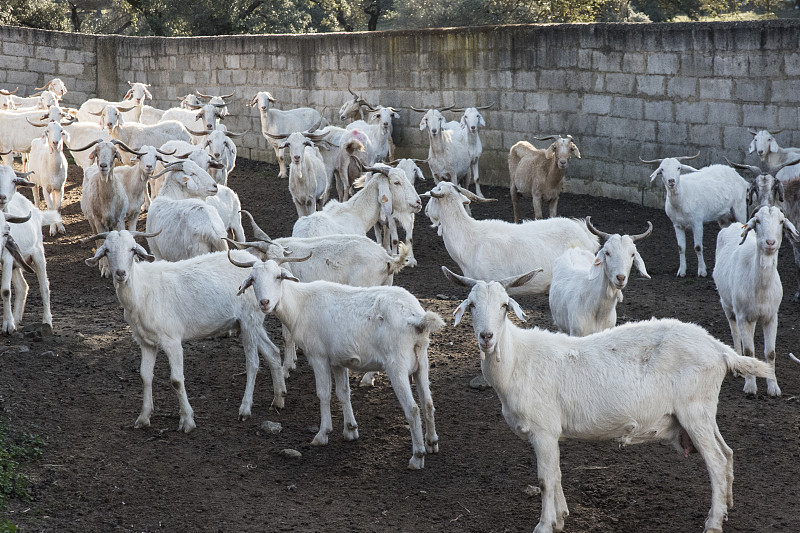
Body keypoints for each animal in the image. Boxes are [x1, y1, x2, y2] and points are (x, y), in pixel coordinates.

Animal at [83, 231, 288, 430]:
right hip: (248, 323)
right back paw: (278, 399)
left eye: (132, 249)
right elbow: (144, 377)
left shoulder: (171, 339)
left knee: (252, 363)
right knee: (273, 351)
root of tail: (254, 262)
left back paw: (245, 409)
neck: (141, 291)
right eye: (107, 250)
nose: (120, 273)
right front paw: (143, 418)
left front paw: (187, 421)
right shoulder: (145, 342)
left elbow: (176, 380)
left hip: (249, 319)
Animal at [230, 255, 444, 470]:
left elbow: (324, 394)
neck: (300, 305)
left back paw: (417, 457)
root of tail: (418, 318)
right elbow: (343, 393)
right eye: (253, 280)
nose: (264, 302)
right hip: (421, 361)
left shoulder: (318, 356)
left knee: (413, 409)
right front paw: (350, 430)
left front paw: (322, 434)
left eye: (278, 277)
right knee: (427, 403)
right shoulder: (338, 361)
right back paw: (432, 443)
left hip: (397, 365)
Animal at [444, 268, 776, 532]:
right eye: (471, 306)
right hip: (704, 409)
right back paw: (727, 507)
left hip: (693, 409)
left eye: (504, 306)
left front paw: (545, 525)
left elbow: (545, 479)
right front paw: (561, 517)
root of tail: (720, 350)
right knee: (727, 452)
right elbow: (557, 475)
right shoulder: (550, 434)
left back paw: (713, 523)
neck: (517, 361)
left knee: (717, 461)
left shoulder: (543, 430)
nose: (486, 337)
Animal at [712, 206, 792, 396]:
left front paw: (774, 388)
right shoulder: (743, 316)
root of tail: (734, 225)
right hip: (728, 305)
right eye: (758, 221)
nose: (770, 242)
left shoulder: (771, 316)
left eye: (781, 221)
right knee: (735, 332)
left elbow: (770, 353)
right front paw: (750, 387)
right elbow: (749, 350)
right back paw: (738, 368)